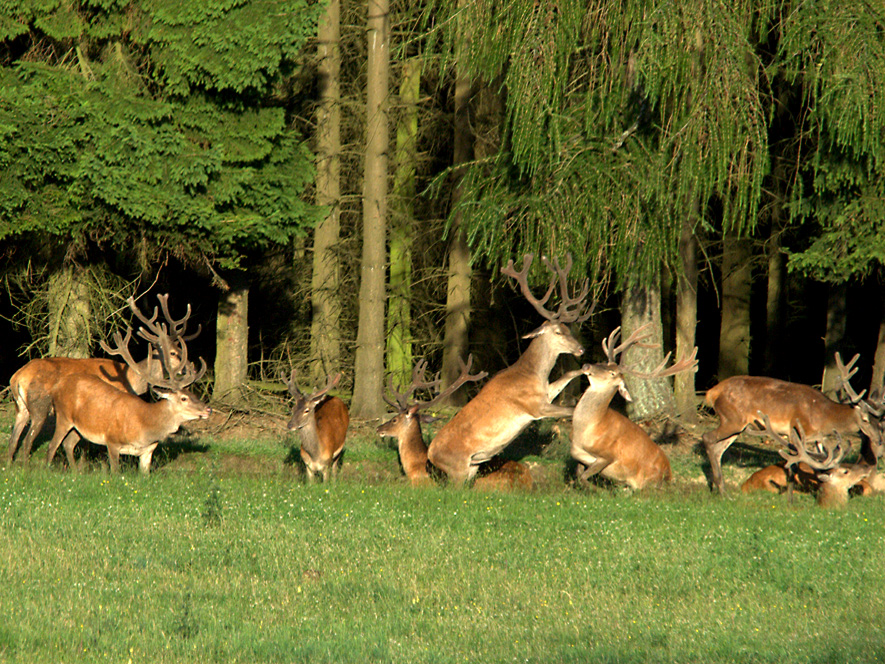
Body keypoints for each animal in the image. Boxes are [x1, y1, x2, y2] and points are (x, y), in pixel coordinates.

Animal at [7, 294, 195, 464]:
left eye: (180, 348)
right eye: (173, 353)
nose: (189, 369)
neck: (131, 380)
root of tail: (17, 377)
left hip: (21, 408)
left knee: (13, 440)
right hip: (40, 406)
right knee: (27, 440)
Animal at [45, 298, 211, 474]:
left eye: (194, 394)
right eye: (184, 398)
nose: (208, 409)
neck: (145, 426)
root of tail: (59, 385)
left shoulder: (148, 451)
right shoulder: (112, 441)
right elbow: (115, 471)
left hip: (78, 426)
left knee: (68, 443)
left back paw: (76, 472)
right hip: (63, 416)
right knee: (52, 445)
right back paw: (47, 469)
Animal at [424, 253, 592, 482]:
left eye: (568, 329)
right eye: (558, 332)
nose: (581, 349)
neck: (531, 374)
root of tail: (430, 455)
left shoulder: (544, 393)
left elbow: (564, 377)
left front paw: (588, 369)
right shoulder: (533, 405)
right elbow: (572, 410)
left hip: (471, 468)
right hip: (457, 469)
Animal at [568, 326, 696, 488]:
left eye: (612, 373)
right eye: (604, 362)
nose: (587, 365)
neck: (583, 433)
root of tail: (669, 476)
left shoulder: (607, 455)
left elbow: (583, 477)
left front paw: (596, 490)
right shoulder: (576, 453)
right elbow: (577, 474)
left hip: (649, 480)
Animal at [700, 352, 880, 492]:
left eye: (878, 419)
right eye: (865, 419)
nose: (879, 440)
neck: (824, 416)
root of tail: (712, 392)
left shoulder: (817, 438)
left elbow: (821, 461)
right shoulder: (797, 430)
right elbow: (795, 464)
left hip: (738, 427)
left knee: (718, 449)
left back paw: (720, 489)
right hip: (732, 419)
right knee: (707, 437)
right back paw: (720, 489)